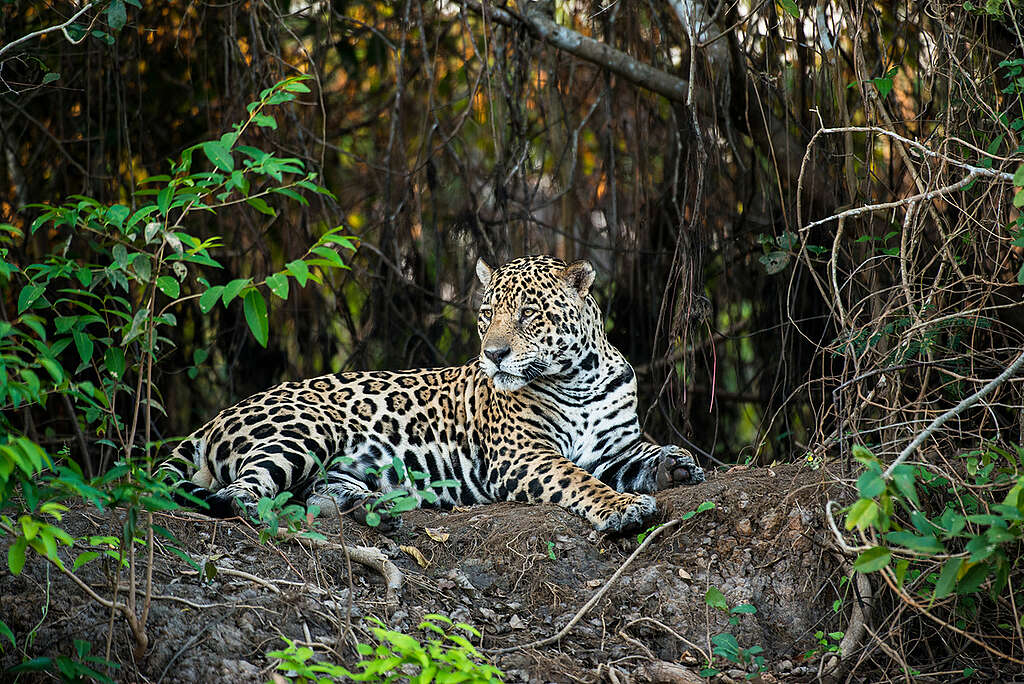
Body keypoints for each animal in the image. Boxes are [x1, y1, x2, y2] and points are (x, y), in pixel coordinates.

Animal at [160, 255, 705, 533]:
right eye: (487, 314)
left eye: (528, 313)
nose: (494, 355)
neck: (579, 378)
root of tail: (218, 416)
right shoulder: (525, 457)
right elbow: (579, 480)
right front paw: (620, 508)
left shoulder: (615, 448)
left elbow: (642, 454)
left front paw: (676, 465)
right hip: (305, 430)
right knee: (233, 492)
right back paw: (260, 509)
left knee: (318, 490)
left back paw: (372, 506)